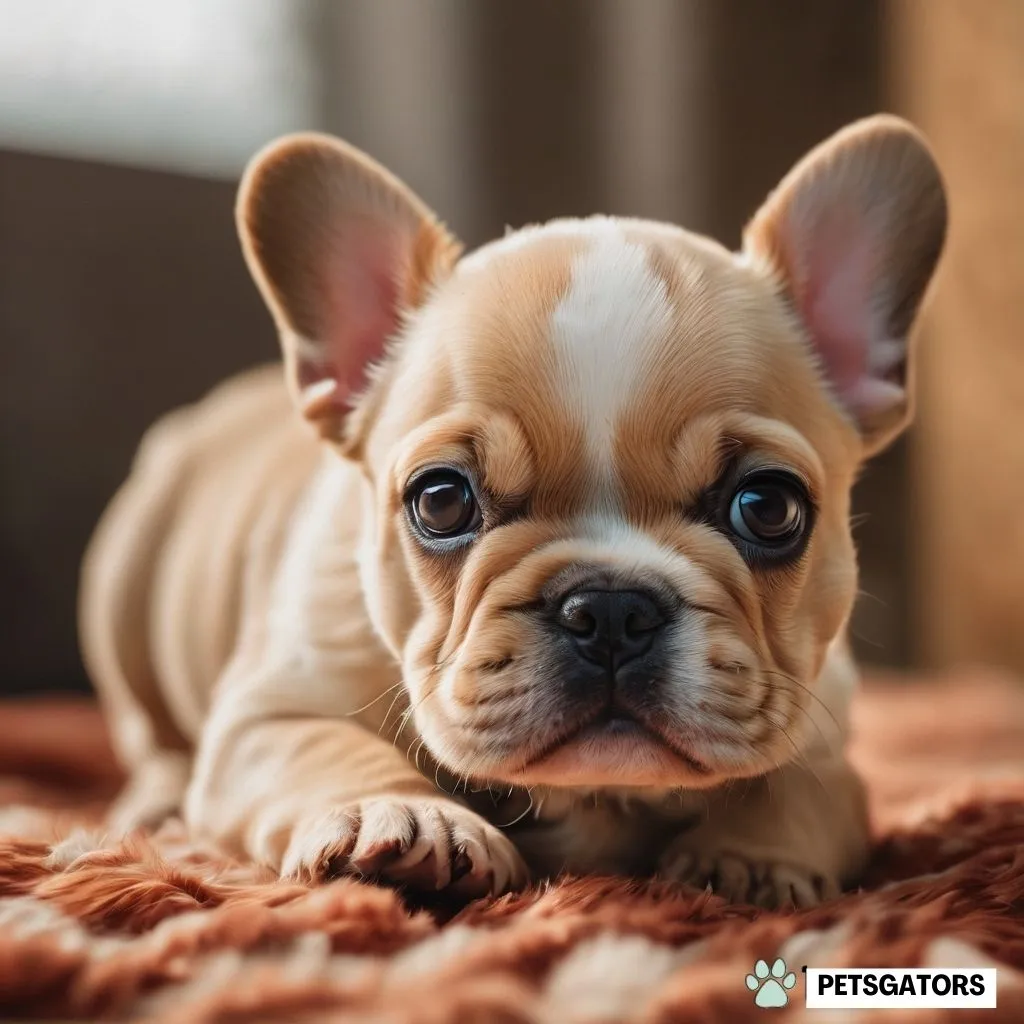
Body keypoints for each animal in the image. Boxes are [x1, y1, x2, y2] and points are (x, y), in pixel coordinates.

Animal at [79, 116, 942, 909]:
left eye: (767, 507)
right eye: (441, 499)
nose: (611, 607)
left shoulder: (824, 728)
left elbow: (803, 785)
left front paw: (752, 856)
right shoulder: (268, 716)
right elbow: (329, 749)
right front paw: (402, 817)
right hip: (124, 588)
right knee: (149, 732)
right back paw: (154, 800)